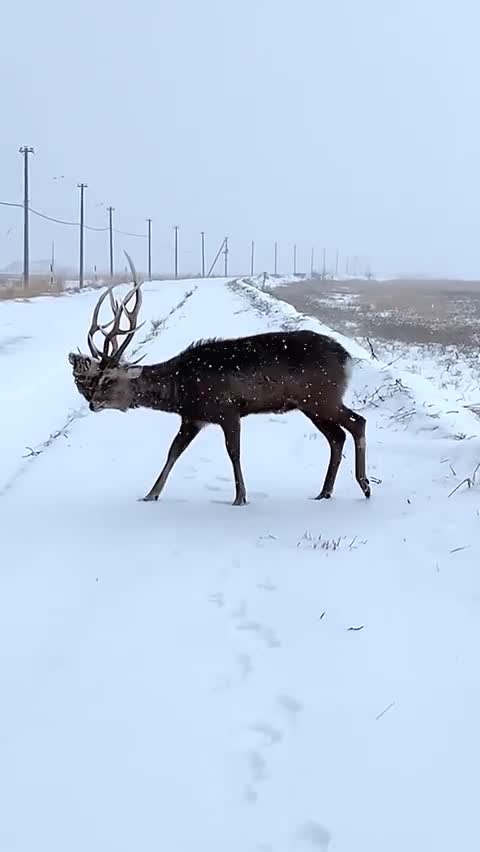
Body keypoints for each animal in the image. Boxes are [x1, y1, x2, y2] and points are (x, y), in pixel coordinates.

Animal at [68, 253, 372, 506]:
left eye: (108, 380)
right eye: (94, 380)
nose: (92, 404)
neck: (181, 388)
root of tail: (347, 358)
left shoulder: (228, 409)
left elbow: (233, 451)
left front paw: (240, 497)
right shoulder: (192, 417)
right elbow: (173, 452)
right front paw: (151, 494)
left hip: (322, 396)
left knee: (357, 422)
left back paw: (365, 486)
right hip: (311, 404)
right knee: (336, 437)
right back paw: (325, 491)